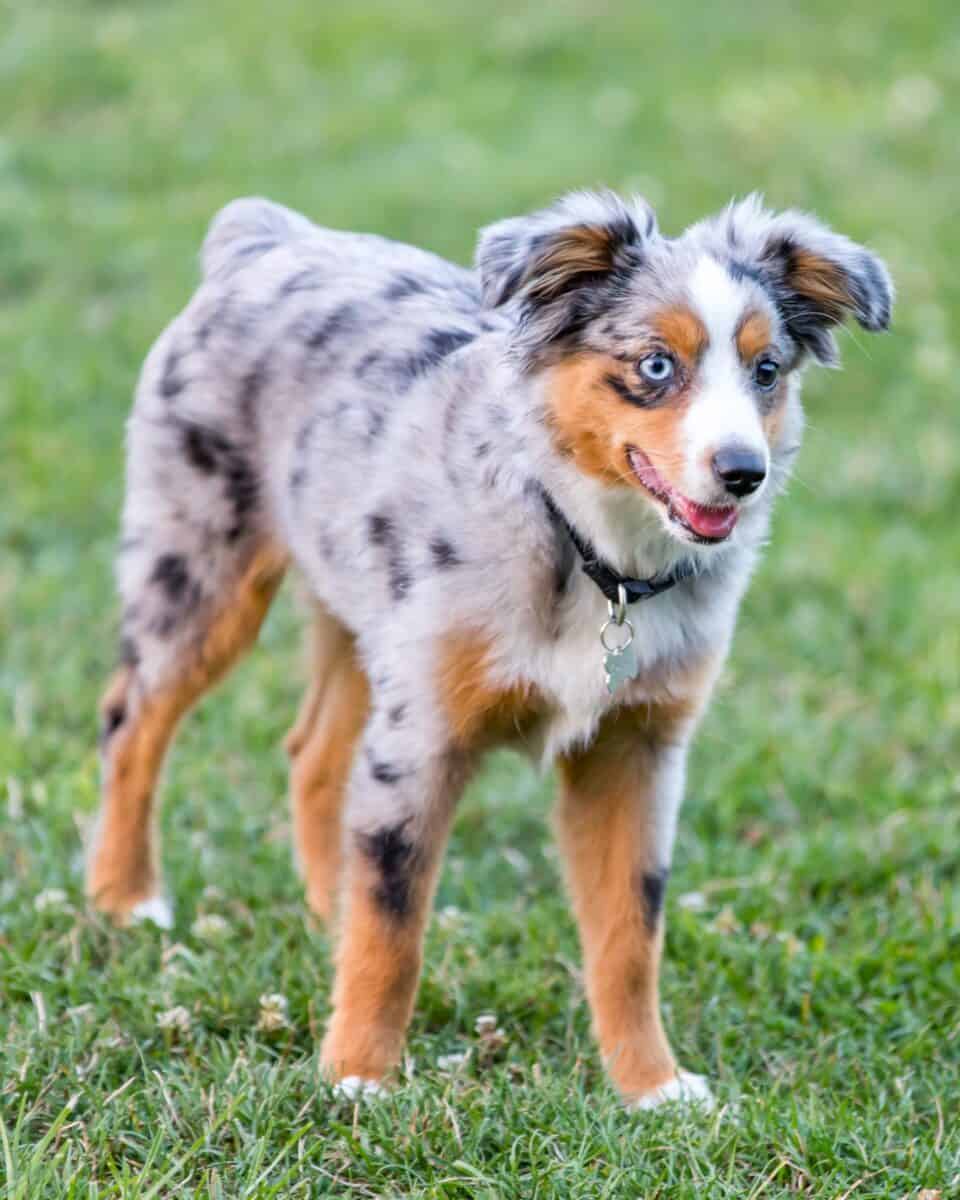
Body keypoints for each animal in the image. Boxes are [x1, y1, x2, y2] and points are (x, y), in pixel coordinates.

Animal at [90, 192, 892, 1108]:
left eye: (767, 371)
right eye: (656, 365)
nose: (743, 472)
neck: (593, 553)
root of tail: (267, 236)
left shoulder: (636, 749)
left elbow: (630, 932)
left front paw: (650, 1084)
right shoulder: (423, 734)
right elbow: (395, 922)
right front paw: (359, 1076)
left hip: (361, 610)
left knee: (314, 755)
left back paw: (327, 910)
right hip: (201, 571)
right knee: (132, 720)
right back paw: (125, 898)